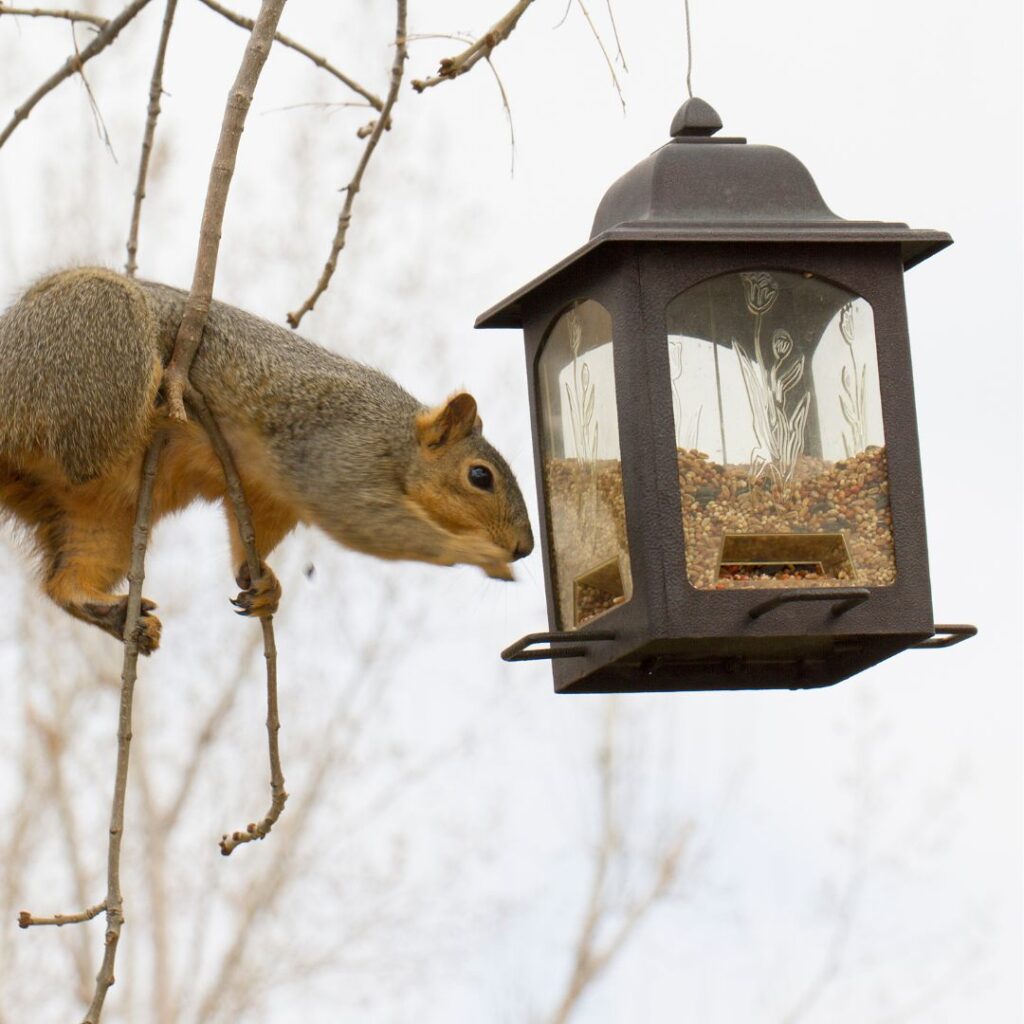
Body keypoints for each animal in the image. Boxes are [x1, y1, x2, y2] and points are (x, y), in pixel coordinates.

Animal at [0, 267, 534, 654]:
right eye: (480, 476)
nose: (524, 547)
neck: (395, 437)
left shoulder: (270, 492)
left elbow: (250, 536)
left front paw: (265, 585)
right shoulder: (336, 455)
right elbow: (365, 523)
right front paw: (478, 553)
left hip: (97, 520)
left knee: (66, 581)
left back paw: (107, 610)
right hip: (99, 331)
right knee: (85, 449)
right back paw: (168, 395)